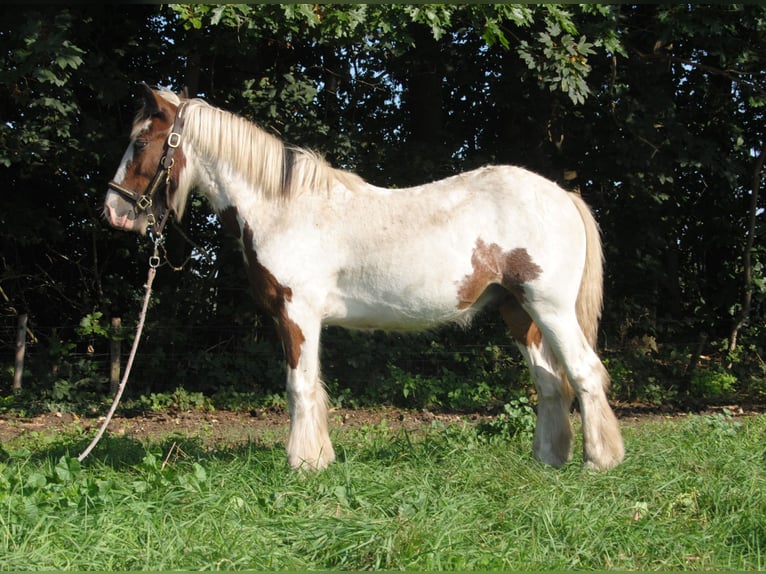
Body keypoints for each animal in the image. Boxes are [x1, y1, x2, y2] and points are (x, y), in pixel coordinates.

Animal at [105, 86, 628, 472]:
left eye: (141, 142)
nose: (113, 210)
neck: (283, 207)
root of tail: (563, 195)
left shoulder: (297, 313)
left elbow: (299, 386)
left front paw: (304, 463)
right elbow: (309, 386)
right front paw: (319, 457)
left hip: (550, 307)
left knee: (584, 372)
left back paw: (599, 462)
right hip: (518, 311)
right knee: (550, 384)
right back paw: (548, 461)